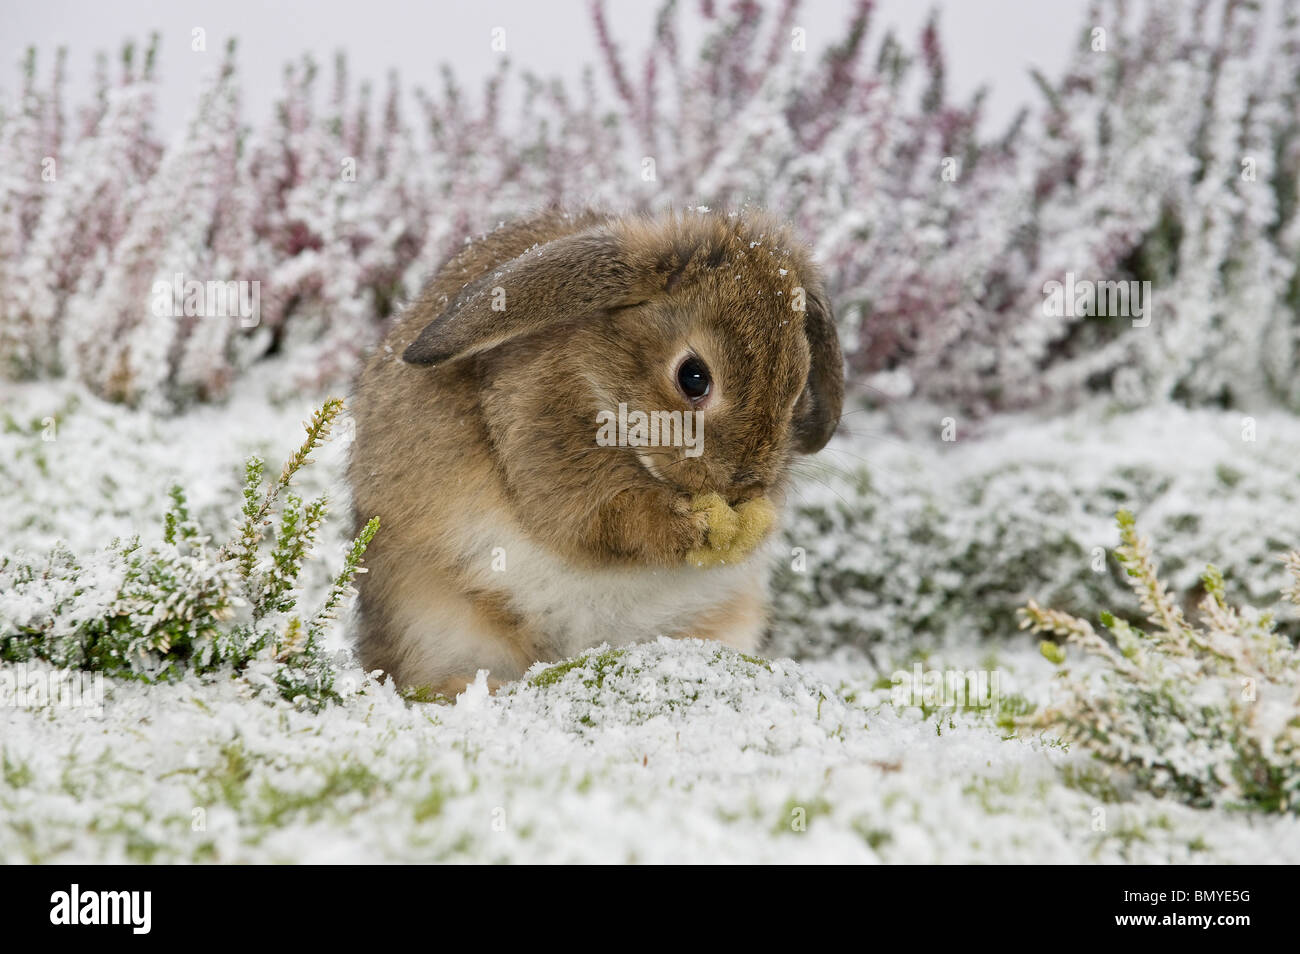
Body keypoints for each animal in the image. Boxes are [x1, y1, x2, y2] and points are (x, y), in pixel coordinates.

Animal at [347, 207, 843, 696]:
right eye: (693, 377)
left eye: (797, 391)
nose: (743, 486)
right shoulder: (547, 470)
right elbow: (610, 523)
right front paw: (692, 525)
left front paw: (754, 529)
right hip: (432, 620)